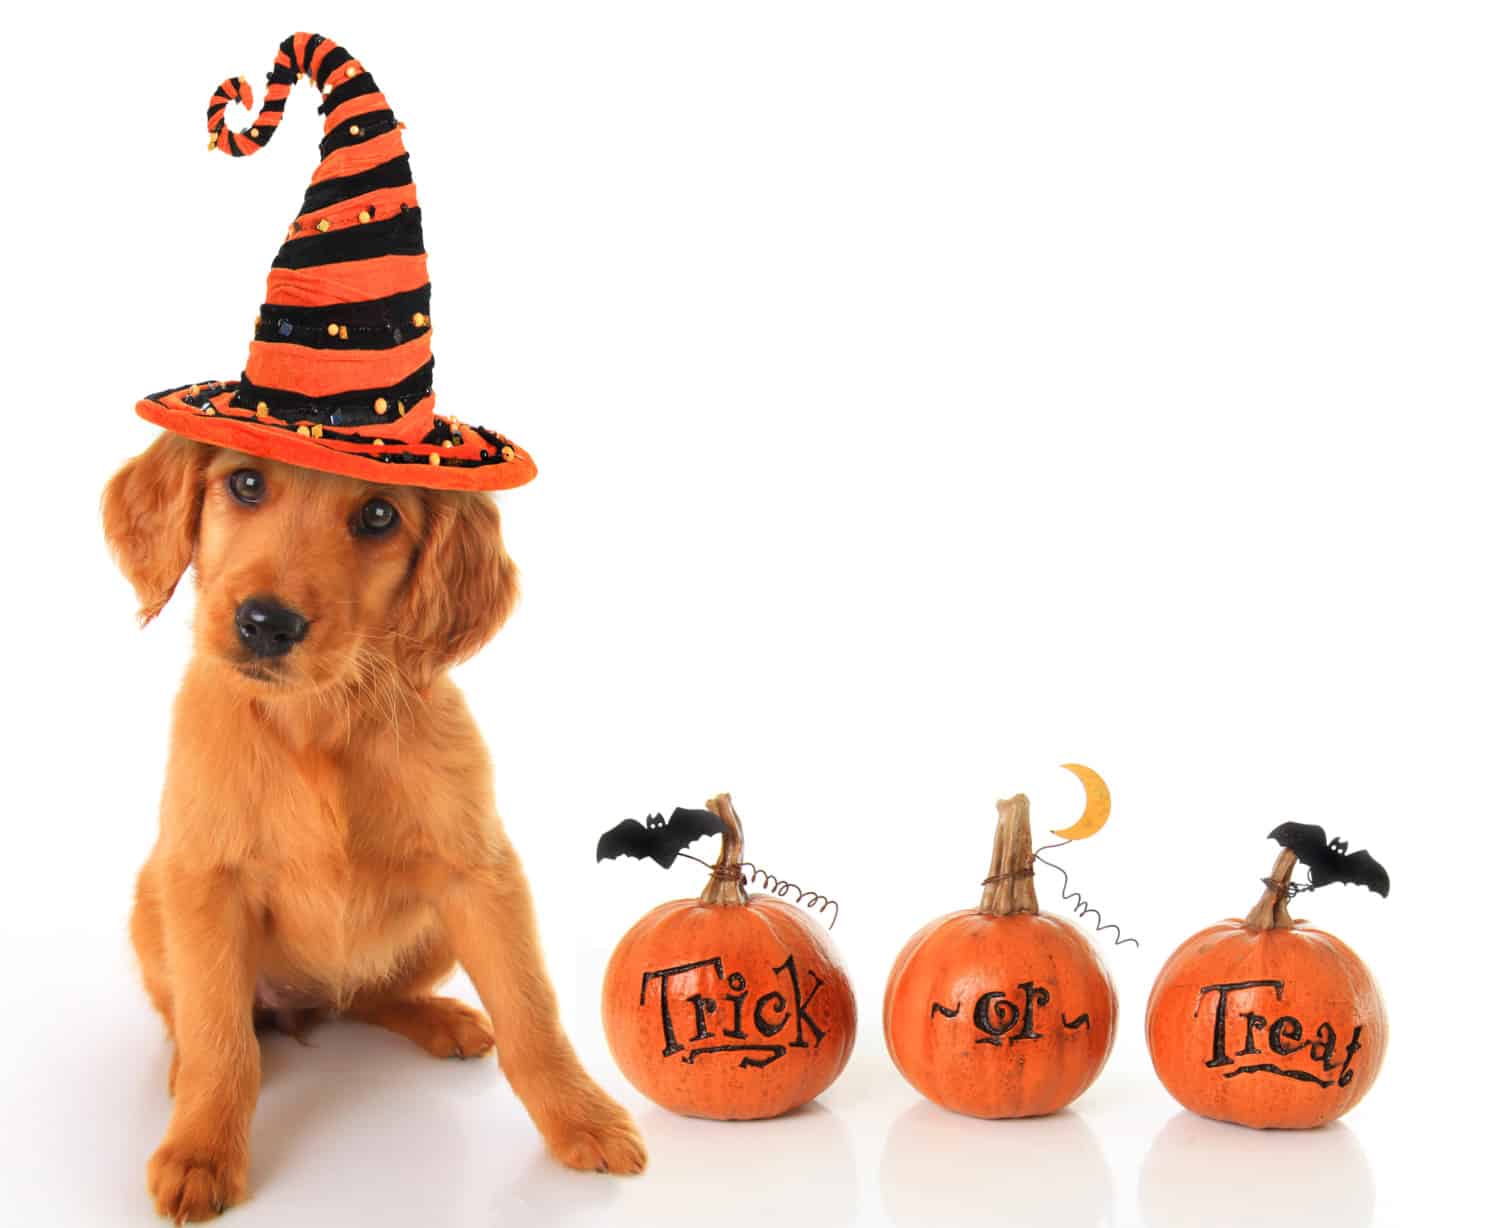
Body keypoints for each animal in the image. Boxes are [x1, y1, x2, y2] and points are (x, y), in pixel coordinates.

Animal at [102, 440, 642, 1217]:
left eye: (380, 515)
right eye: (246, 481)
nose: (267, 623)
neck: (320, 717)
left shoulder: (481, 873)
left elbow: (531, 1013)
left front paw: (584, 1118)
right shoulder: (204, 883)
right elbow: (219, 1038)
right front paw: (200, 1149)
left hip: (432, 934)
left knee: (370, 996)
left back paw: (441, 1020)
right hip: (153, 908)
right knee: (203, 1018)